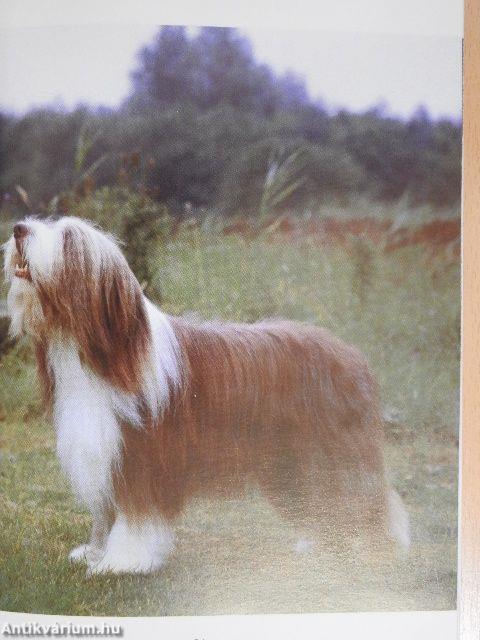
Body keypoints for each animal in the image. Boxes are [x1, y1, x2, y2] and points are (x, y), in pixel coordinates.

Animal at [2, 216, 408, 576]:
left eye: (68, 238)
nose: (18, 229)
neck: (105, 354)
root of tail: (351, 354)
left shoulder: (140, 456)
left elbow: (135, 516)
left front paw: (123, 562)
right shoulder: (104, 453)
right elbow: (106, 514)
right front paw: (94, 552)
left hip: (333, 454)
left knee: (365, 500)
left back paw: (375, 548)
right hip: (290, 465)